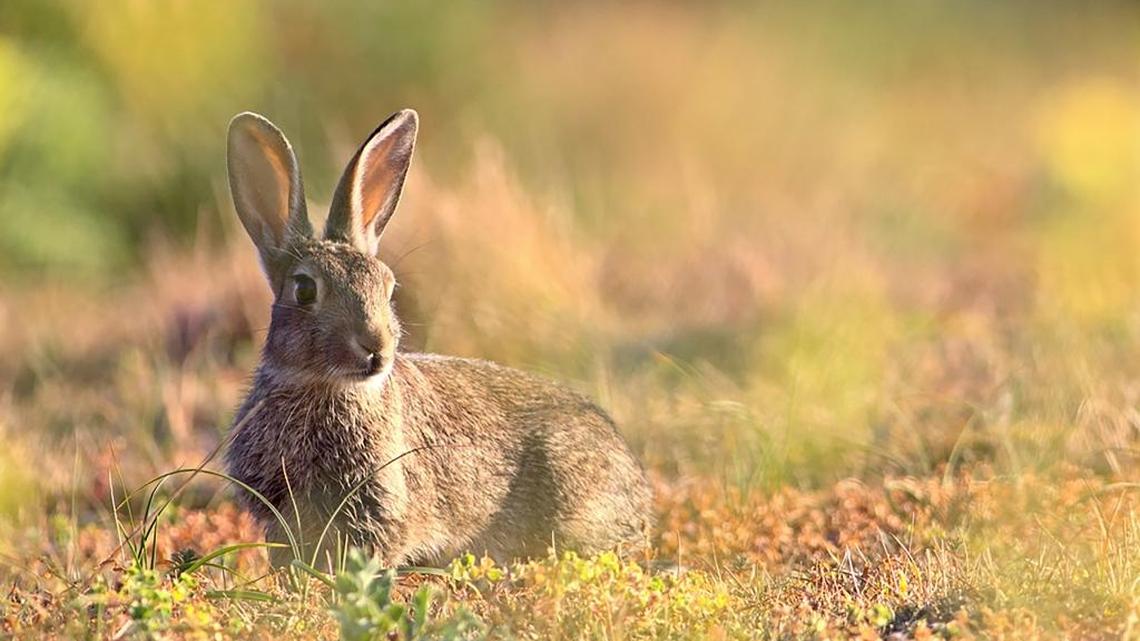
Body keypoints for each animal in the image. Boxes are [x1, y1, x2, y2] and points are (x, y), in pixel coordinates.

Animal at [223, 109, 653, 569]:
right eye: (304, 290)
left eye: (388, 287)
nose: (376, 348)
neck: (322, 388)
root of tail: (641, 495)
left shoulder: (380, 510)